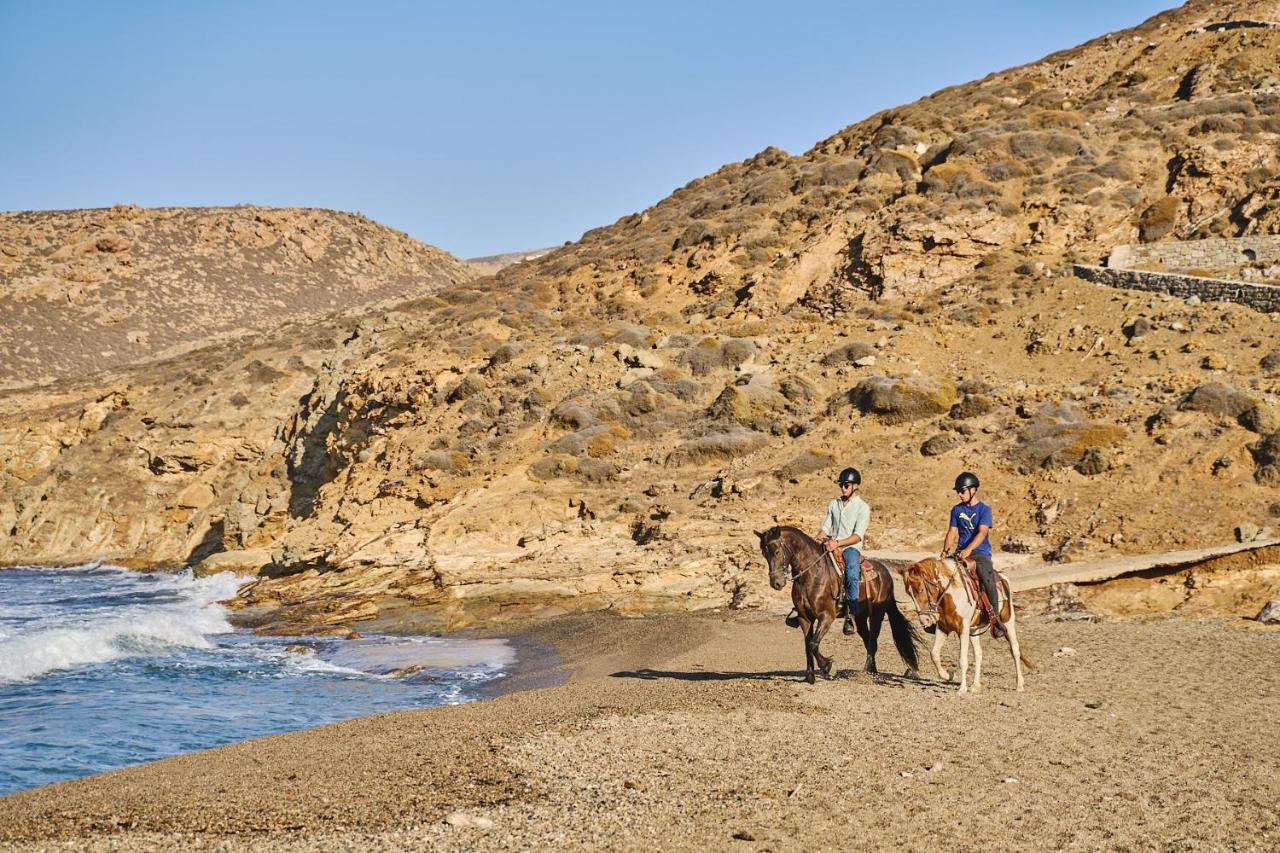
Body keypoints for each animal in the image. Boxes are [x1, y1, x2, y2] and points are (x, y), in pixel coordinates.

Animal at [752, 525, 926, 686]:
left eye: (776, 551)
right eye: (764, 553)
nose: (776, 583)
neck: (812, 575)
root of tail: (885, 573)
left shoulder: (826, 617)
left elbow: (813, 644)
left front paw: (828, 667)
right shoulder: (804, 618)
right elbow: (807, 645)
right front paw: (810, 676)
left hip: (877, 614)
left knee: (873, 641)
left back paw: (866, 673)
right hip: (860, 618)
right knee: (867, 639)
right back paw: (873, 671)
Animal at [896, 558, 1034, 691]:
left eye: (920, 589)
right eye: (908, 593)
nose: (924, 620)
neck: (953, 595)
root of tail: (1003, 578)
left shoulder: (963, 629)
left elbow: (962, 660)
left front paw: (962, 689)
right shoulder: (943, 628)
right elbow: (934, 654)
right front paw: (948, 675)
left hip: (1008, 623)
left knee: (1015, 650)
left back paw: (1019, 684)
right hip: (973, 631)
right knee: (978, 654)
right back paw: (975, 685)